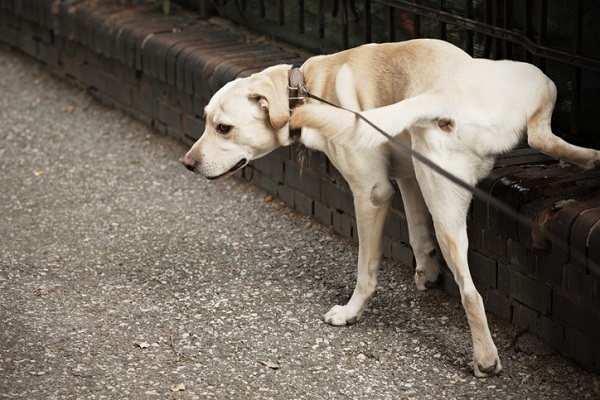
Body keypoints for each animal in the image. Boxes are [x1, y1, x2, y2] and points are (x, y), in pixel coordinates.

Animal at [182, 38, 600, 378]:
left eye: (223, 128)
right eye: (206, 121)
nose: (187, 163)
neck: (309, 87)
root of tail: (447, 93)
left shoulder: (373, 193)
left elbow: (366, 270)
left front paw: (351, 312)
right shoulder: (409, 176)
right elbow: (416, 232)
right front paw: (426, 271)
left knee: (470, 293)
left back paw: (484, 360)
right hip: (531, 86)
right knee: (541, 137)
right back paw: (589, 157)